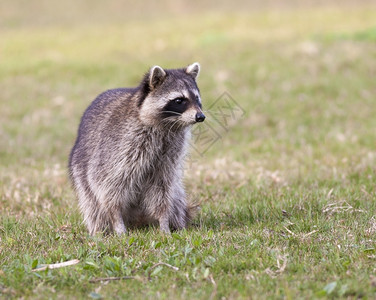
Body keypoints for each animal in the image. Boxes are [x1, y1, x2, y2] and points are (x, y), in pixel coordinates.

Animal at [69, 62, 204, 234]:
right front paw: (117, 220)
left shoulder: (169, 153)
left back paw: (178, 223)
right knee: (93, 205)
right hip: (81, 174)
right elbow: (107, 185)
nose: (200, 116)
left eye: (197, 98)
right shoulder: (120, 146)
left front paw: (164, 221)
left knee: (176, 197)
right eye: (179, 100)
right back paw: (100, 230)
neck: (166, 125)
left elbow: (162, 188)